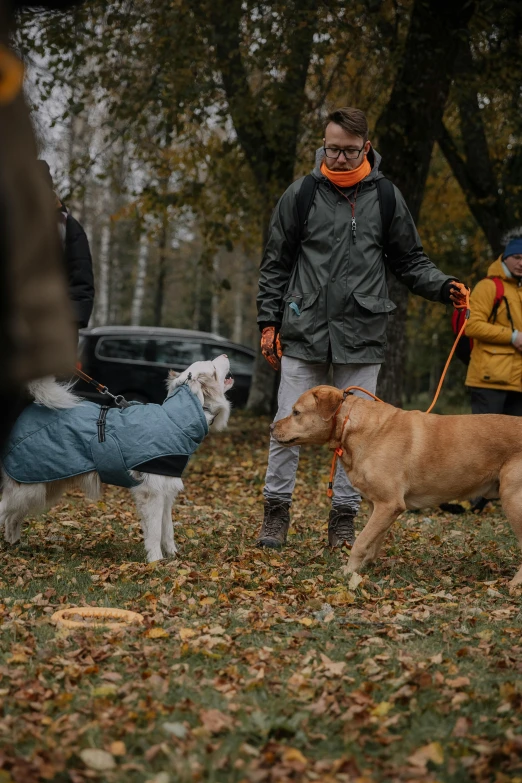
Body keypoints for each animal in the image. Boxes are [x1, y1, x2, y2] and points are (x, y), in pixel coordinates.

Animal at [0, 356, 232, 564]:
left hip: (42, 486)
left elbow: (168, 529)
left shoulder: (166, 492)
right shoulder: (151, 493)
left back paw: (15, 544)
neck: (177, 420)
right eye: (213, 367)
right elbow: (155, 531)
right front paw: (156, 561)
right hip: (28, 488)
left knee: (13, 517)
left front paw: (174, 556)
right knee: (6, 511)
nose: (226, 355)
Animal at [270, 388, 520, 592]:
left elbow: (360, 542)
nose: (271, 427)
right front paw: (365, 567)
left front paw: (348, 572)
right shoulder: (379, 506)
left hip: (512, 501)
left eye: (296, 412)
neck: (353, 426)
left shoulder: (390, 504)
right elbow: (373, 541)